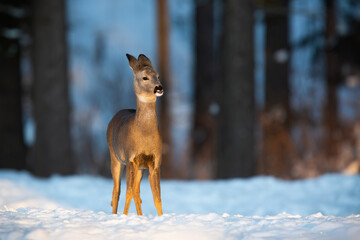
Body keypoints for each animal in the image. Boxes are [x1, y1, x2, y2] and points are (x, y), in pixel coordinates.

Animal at [106, 53, 164, 216]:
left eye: (158, 75)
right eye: (145, 77)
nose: (159, 87)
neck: (144, 135)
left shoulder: (155, 162)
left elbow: (157, 197)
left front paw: (162, 217)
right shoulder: (130, 157)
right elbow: (128, 192)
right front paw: (124, 217)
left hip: (140, 169)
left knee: (137, 193)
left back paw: (140, 215)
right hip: (115, 157)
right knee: (117, 190)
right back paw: (115, 214)